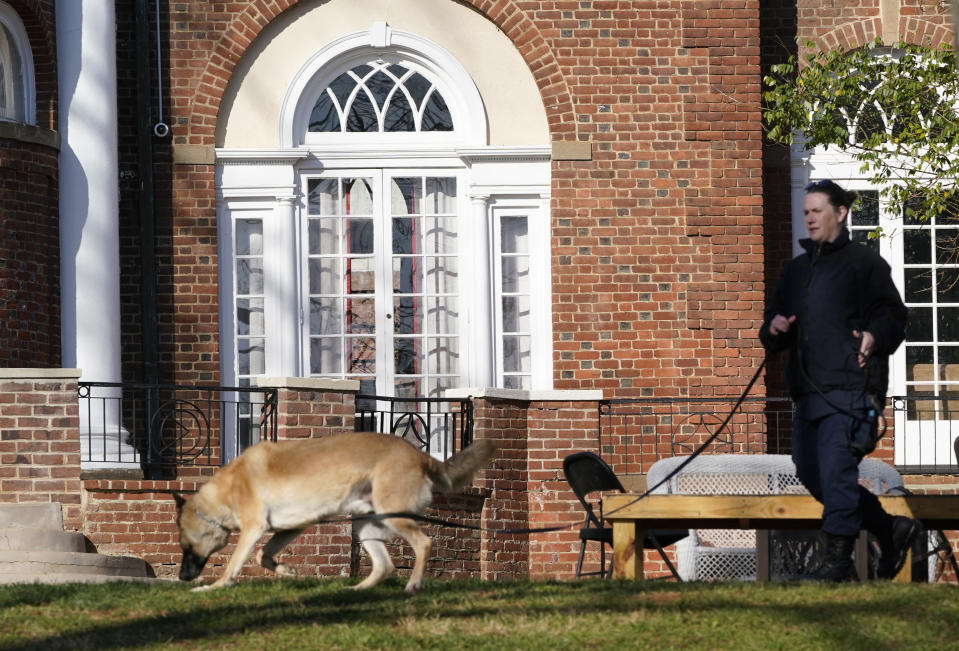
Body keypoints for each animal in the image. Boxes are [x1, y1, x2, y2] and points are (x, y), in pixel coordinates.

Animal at [173, 432, 498, 596]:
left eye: (186, 546)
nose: (182, 578)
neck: (224, 492)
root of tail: (419, 455)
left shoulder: (254, 528)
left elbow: (234, 564)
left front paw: (214, 586)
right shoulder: (292, 527)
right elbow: (262, 556)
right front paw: (286, 571)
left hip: (392, 514)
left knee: (424, 543)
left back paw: (413, 584)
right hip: (365, 526)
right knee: (384, 566)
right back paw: (355, 590)